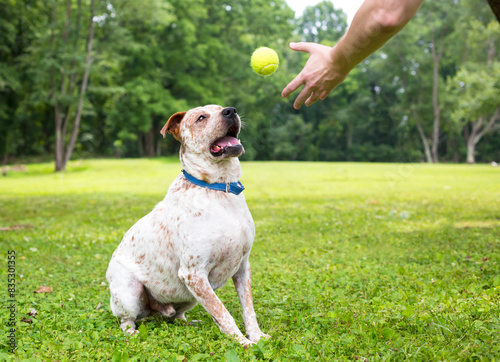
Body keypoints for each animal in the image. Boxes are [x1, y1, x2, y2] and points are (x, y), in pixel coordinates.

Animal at [106, 104, 270, 346]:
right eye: (201, 118)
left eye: (221, 108)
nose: (231, 111)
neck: (220, 189)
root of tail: (156, 311)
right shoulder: (194, 273)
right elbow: (223, 313)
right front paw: (243, 343)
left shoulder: (242, 267)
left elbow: (247, 309)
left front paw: (257, 336)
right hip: (130, 293)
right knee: (126, 319)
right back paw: (132, 332)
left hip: (188, 297)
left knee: (176, 316)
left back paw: (189, 322)